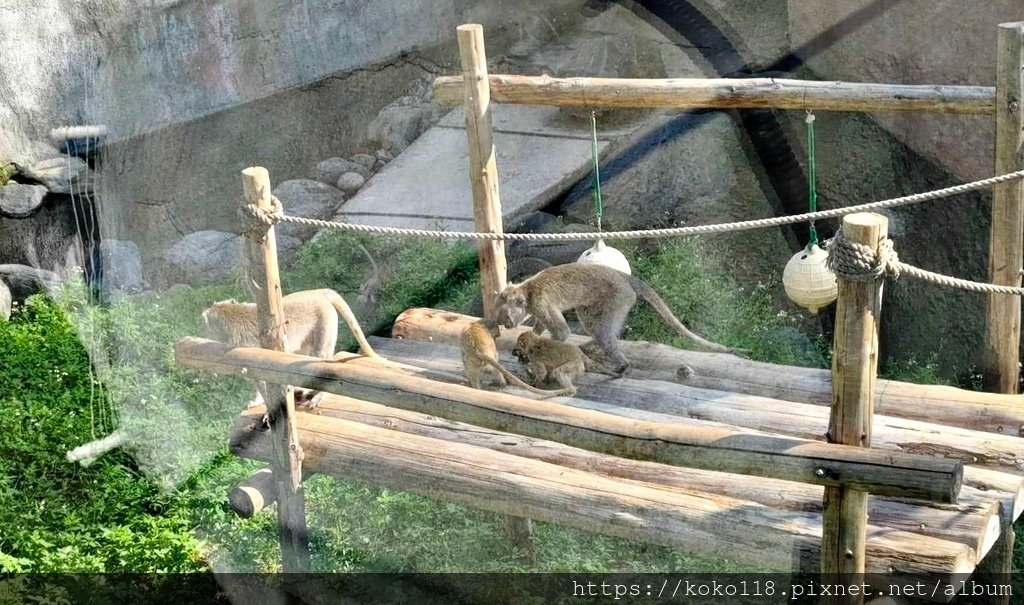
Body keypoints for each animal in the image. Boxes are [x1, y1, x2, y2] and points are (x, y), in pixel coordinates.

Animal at [199, 288, 380, 411]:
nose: (203, 331)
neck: (233, 314)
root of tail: (318, 292)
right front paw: (259, 401)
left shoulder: (245, 349)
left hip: (325, 318)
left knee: (320, 355)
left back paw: (319, 392)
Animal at [493, 264, 741, 374]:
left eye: (505, 314)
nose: (506, 323)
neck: (528, 291)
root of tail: (624, 277)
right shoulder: (538, 308)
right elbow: (542, 326)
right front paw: (530, 339)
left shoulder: (541, 303)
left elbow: (561, 333)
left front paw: (537, 353)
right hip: (619, 299)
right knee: (590, 318)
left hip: (619, 296)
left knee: (601, 330)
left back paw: (621, 362)